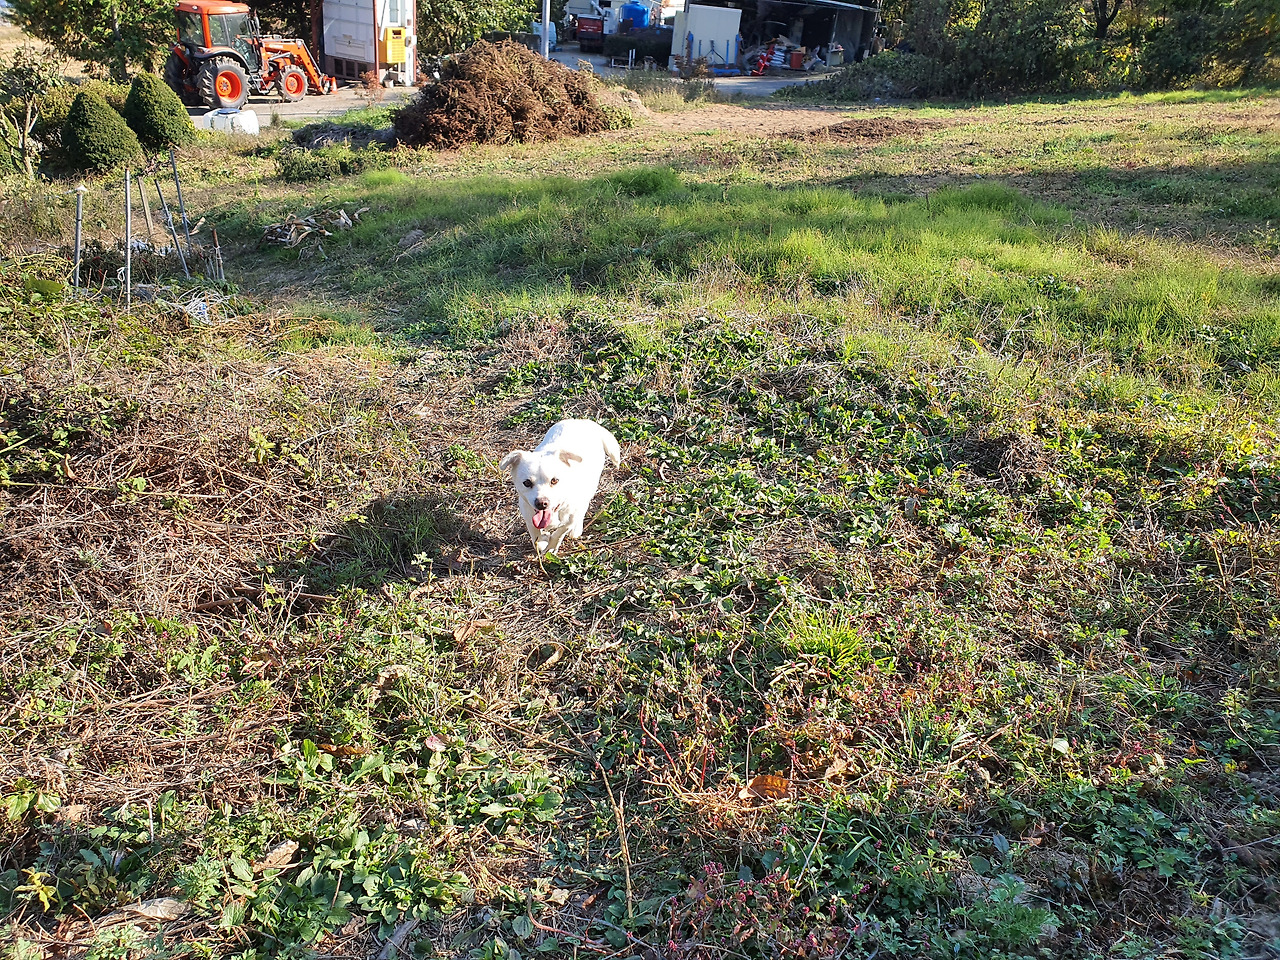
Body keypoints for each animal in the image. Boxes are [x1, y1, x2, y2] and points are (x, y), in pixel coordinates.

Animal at [500, 419, 622, 556]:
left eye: (554, 480)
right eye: (527, 483)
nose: (542, 503)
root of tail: (584, 421)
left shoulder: (569, 520)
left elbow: (559, 533)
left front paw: (551, 548)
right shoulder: (529, 516)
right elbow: (536, 536)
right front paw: (542, 542)